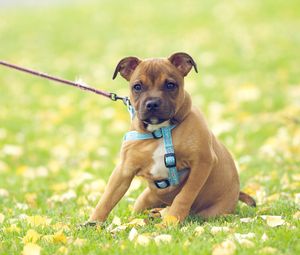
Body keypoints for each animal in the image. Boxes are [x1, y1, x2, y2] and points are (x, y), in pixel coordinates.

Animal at [88, 52, 254, 224]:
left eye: (170, 85)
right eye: (137, 87)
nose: (152, 103)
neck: (160, 130)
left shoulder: (202, 162)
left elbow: (184, 195)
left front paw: (171, 220)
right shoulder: (124, 170)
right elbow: (107, 198)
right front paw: (93, 223)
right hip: (143, 200)